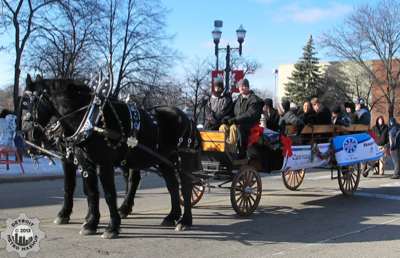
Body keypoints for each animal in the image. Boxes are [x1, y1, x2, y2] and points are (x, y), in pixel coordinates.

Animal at [22, 74, 200, 238]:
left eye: (30, 102)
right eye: (22, 101)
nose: (26, 134)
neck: (90, 119)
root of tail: (187, 117)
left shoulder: (103, 163)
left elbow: (108, 194)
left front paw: (112, 227)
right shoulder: (84, 163)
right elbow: (89, 192)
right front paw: (90, 223)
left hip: (183, 159)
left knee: (185, 187)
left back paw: (185, 220)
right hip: (164, 161)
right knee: (172, 186)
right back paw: (171, 216)